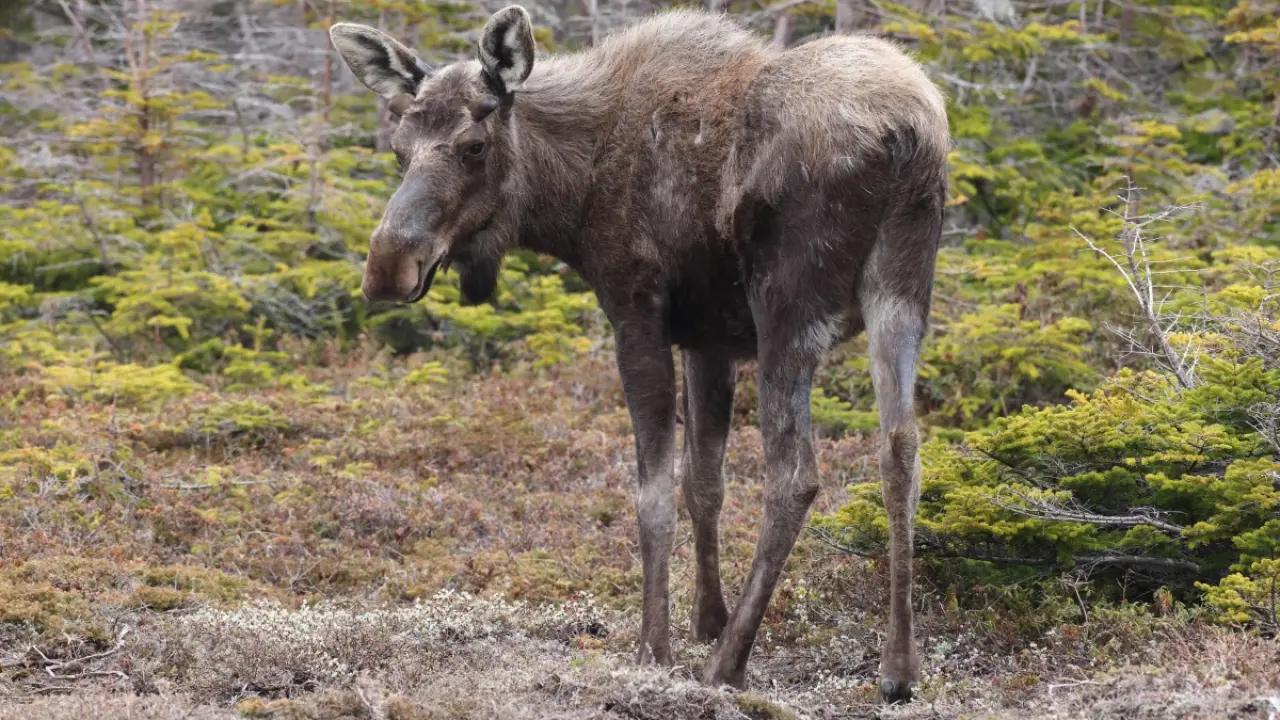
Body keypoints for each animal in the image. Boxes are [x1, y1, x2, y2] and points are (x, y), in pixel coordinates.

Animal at [330, 5, 949, 705]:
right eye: (399, 149)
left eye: (475, 146)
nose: (386, 267)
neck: (569, 194)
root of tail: (907, 133)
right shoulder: (710, 338)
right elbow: (704, 482)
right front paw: (707, 618)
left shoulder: (637, 311)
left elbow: (653, 496)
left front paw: (656, 648)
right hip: (900, 294)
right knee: (901, 451)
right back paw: (898, 666)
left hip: (788, 308)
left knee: (796, 475)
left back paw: (729, 665)